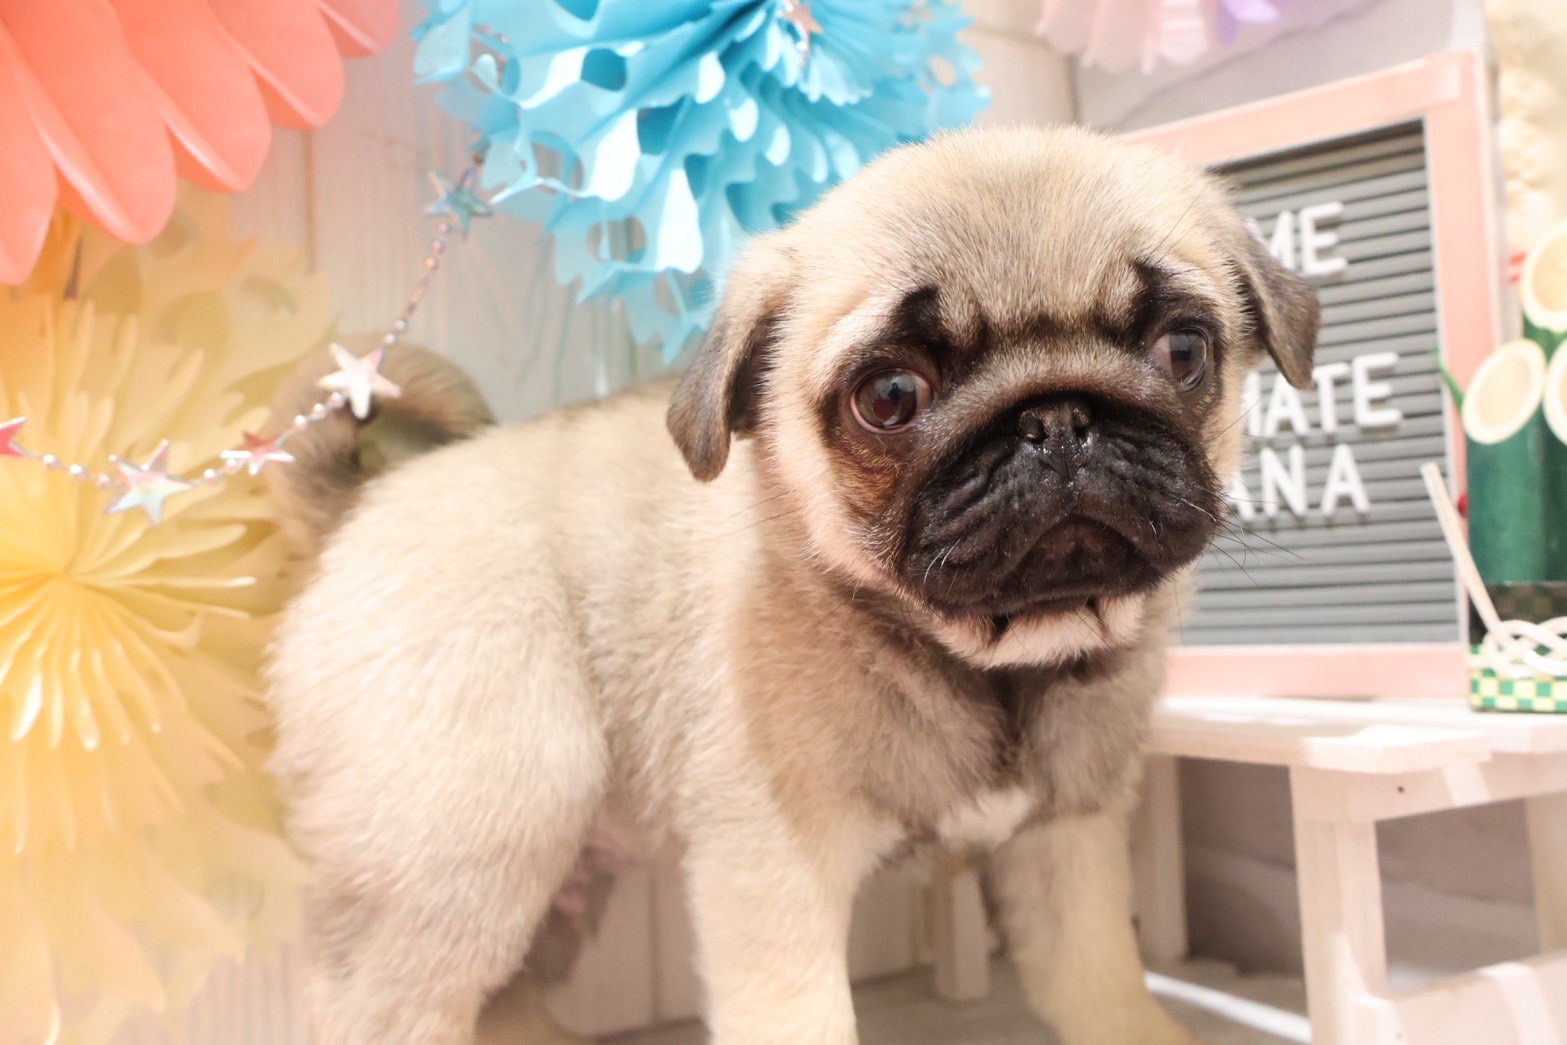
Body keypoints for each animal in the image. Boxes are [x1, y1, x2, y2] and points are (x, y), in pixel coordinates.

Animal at [264, 123, 1318, 1044]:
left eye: (1183, 350)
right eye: (889, 397)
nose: (1055, 418)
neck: (986, 659)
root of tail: (361, 509)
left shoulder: (1064, 844)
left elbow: (1102, 990)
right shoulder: (773, 873)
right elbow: (802, 1015)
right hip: (477, 838)